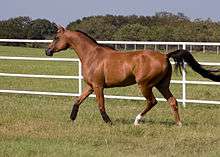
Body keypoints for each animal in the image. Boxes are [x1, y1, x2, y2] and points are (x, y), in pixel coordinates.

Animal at [45, 26, 220, 126]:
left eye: (56, 38)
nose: (47, 51)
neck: (92, 55)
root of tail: (165, 56)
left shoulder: (98, 86)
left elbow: (101, 105)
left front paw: (109, 122)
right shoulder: (90, 86)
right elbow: (77, 100)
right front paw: (72, 119)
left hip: (145, 85)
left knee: (152, 101)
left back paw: (136, 121)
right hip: (162, 85)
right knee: (172, 101)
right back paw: (179, 124)